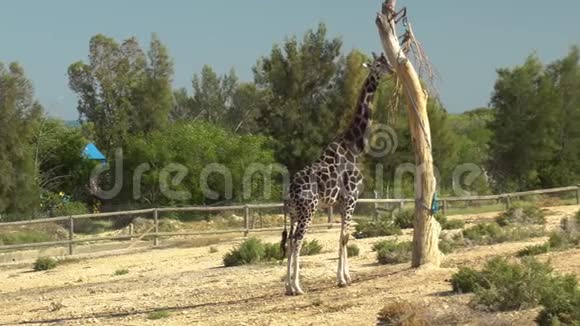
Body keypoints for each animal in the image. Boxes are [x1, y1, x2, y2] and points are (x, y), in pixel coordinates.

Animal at [282, 52, 392, 294]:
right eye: (378, 65)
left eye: (386, 61)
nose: (392, 70)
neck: (355, 146)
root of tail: (290, 191)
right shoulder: (351, 197)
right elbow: (344, 237)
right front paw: (342, 279)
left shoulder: (341, 202)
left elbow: (344, 236)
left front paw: (346, 276)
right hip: (308, 209)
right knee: (297, 241)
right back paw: (297, 287)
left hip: (294, 213)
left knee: (290, 241)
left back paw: (288, 287)